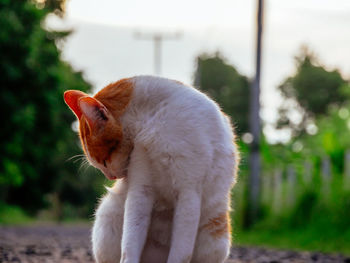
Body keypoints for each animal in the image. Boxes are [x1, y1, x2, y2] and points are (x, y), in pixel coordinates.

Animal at [63, 76, 238, 263]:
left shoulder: (189, 194)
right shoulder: (141, 190)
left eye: (104, 160)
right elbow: (130, 241)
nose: (111, 177)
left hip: (215, 237)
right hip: (107, 218)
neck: (153, 119)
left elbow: (181, 251)